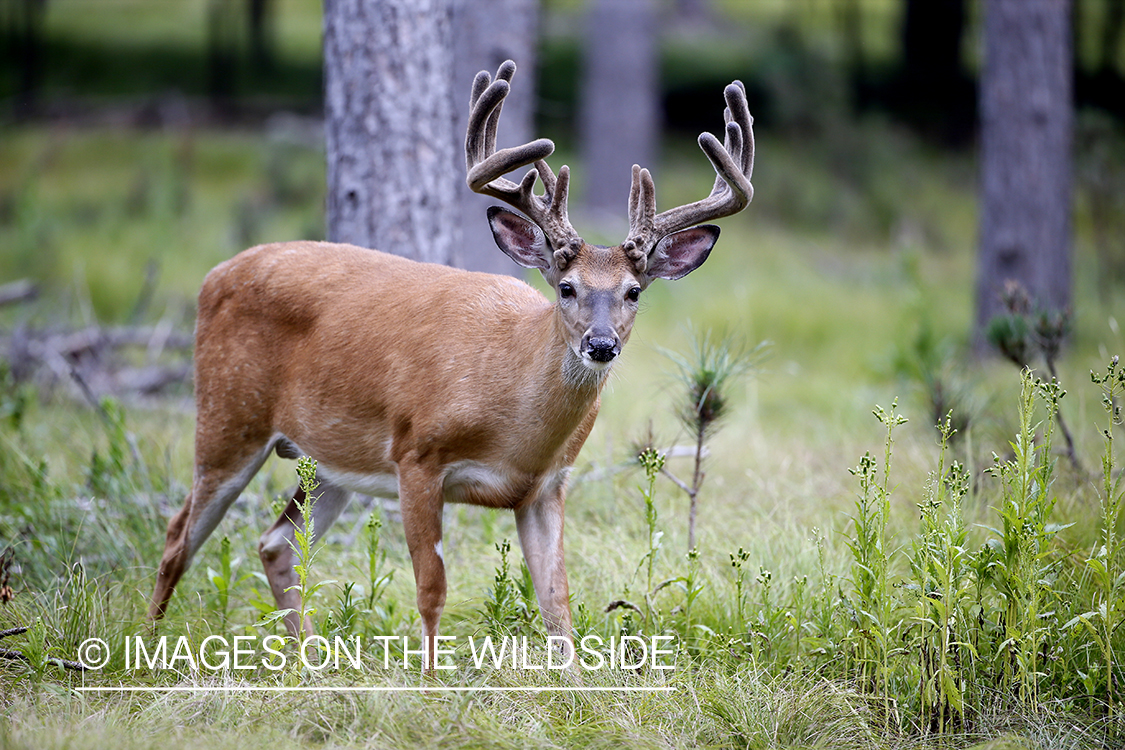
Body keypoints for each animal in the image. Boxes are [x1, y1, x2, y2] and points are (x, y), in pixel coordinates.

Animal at [145, 60, 751, 670]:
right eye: (566, 287)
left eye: (633, 292)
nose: (600, 345)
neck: (516, 423)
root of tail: (213, 276)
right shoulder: (416, 453)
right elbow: (431, 588)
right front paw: (432, 680)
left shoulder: (547, 486)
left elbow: (557, 601)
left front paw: (575, 687)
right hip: (229, 415)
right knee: (177, 537)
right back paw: (148, 645)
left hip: (330, 458)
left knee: (276, 544)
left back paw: (311, 660)